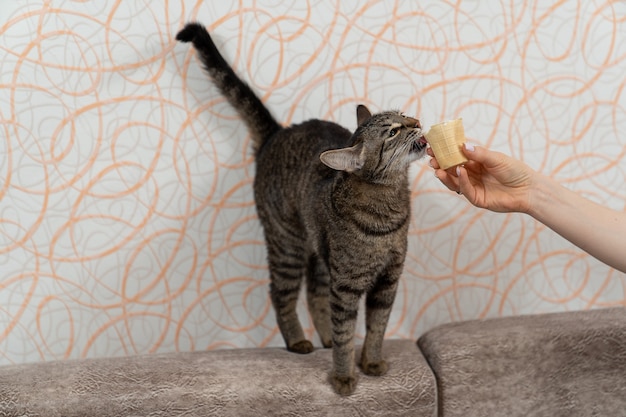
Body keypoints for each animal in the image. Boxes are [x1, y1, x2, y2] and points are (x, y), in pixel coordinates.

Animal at [178, 22, 426, 394]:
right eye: (394, 131)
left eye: (403, 115)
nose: (417, 121)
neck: (389, 208)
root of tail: (277, 133)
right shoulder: (347, 285)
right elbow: (347, 332)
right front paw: (343, 376)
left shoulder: (387, 281)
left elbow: (377, 328)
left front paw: (371, 362)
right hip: (287, 245)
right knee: (281, 293)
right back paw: (298, 340)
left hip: (320, 255)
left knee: (313, 294)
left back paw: (323, 338)